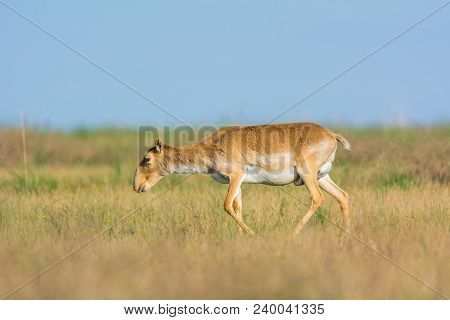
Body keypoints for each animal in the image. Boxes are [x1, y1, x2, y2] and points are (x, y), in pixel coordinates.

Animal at [134, 122, 352, 235]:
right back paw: (344, 235)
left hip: (308, 176)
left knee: (317, 198)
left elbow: (226, 205)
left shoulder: (236, 176)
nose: (137, 186)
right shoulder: (236, 182)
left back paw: (293, 232)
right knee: (342, 195)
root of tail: (331, 134)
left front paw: (252, 234)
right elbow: (237, 206)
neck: (213, 146)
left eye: (147, 159)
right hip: (322, 177)